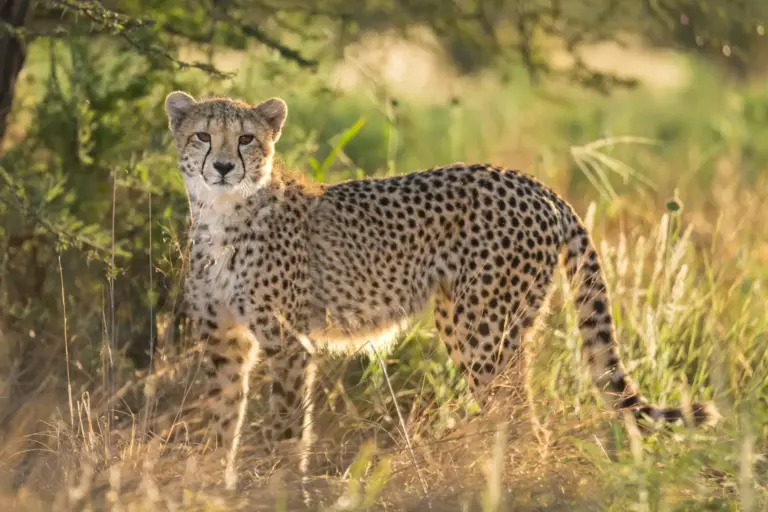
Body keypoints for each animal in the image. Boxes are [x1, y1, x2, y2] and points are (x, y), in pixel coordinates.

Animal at [163, 90, 719, 488]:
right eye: (202, 136)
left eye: (246, 140)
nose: (223, 167)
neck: (222, 214)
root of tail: (537, 185)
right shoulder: (225, 343)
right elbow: (222, 417)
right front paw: (214, 484)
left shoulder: (289, 343)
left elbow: (285, 426)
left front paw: (282, 487)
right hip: (474, 320)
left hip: (483, 328)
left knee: (519, 415)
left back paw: (509, 483)